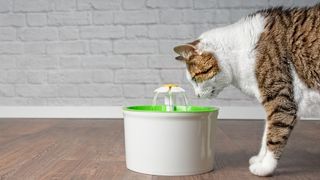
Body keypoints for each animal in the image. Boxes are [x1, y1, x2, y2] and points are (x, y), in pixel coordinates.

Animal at [174, 3, 320, 177]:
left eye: (195, 79)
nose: (196, 95)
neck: (238, 53)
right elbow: (266, 134)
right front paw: (260, 159)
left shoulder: (280, 100)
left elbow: (275, 133)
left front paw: (265, 167)